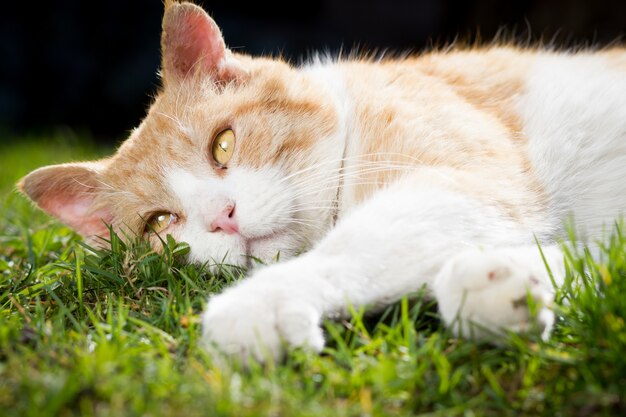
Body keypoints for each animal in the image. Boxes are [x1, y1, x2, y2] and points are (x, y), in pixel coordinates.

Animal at [18, 0, 624, 360]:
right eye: (160, 223)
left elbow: (356, 246)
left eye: (223, 144)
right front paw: (506, 285)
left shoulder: (462, 181)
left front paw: (256, 305)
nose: (222, 218)